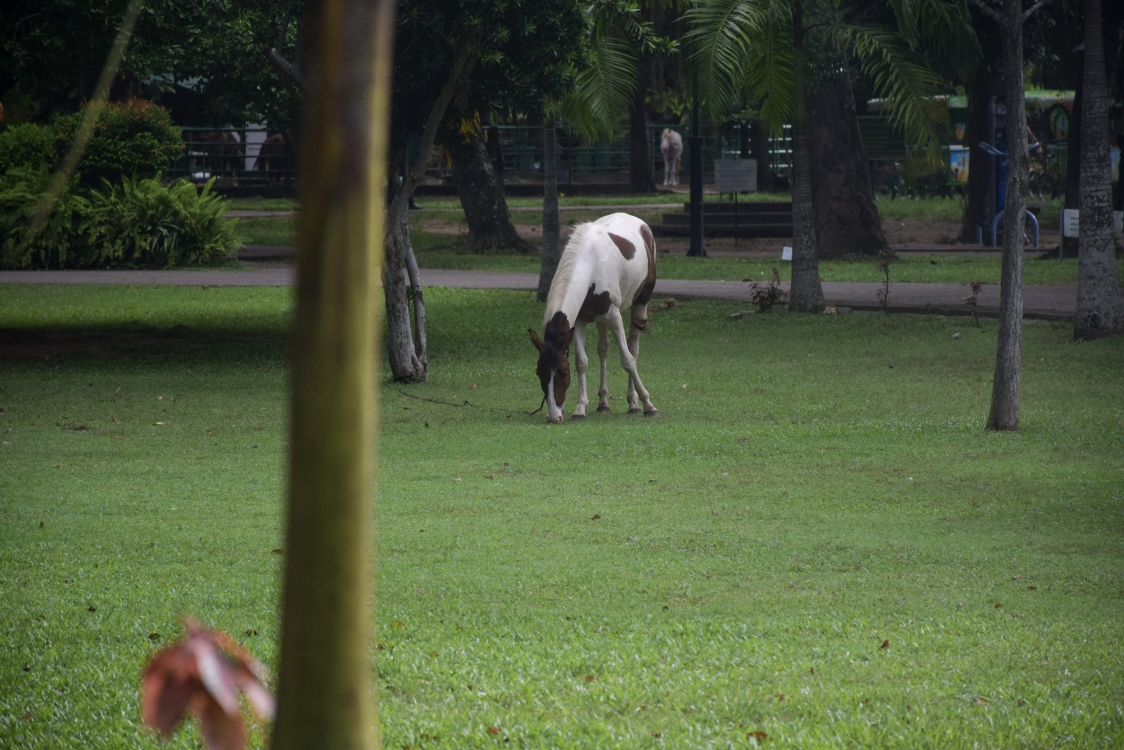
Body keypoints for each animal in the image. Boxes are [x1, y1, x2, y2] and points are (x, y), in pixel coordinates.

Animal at [528, 212, 656, 422]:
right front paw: (580, 409)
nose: (554, 416)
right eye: (540, 372)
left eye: (564, 372)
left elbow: (627, 360)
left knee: (633, 349)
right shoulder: (580, 321)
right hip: (599, 319)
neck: (589, 264)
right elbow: (582, 362)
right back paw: (603, 403)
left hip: (640, 302)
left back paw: (634, 403)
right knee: (603, 349)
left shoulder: (614, 316)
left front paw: (648, 404)